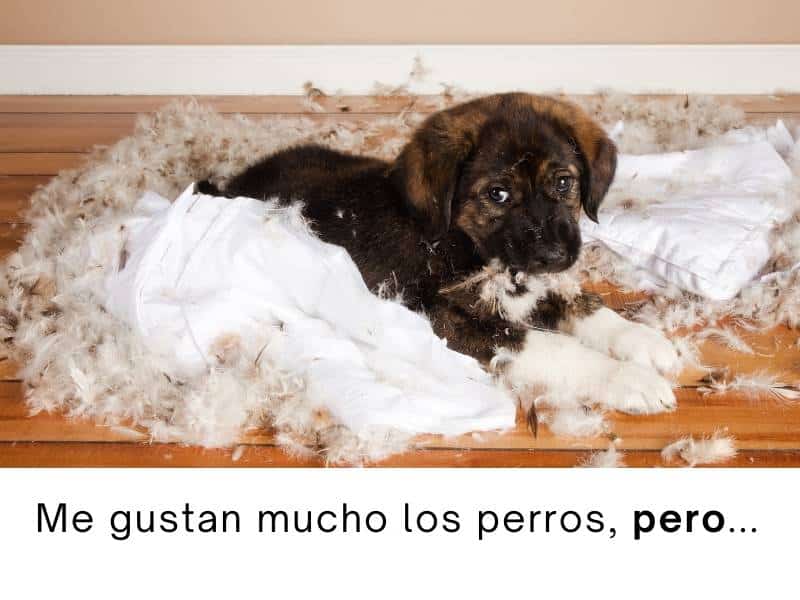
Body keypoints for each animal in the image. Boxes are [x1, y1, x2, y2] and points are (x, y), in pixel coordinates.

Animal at [199, 92, 679, 418]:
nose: (556, 254)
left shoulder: (535, 283)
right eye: (497, 194)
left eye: (563, 183)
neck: (466, 242)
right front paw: (628, 379)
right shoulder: (446, 320)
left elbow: (583, 304)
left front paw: (642, 341)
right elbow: (555, 347)